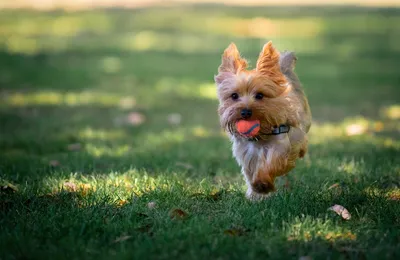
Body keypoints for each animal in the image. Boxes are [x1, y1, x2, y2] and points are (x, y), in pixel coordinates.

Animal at [214, 40, 310, 200]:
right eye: (234, 96)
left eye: (259, 95)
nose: (245, 112)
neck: (260, 136)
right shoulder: (247, 153)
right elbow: (250, 172)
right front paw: (254, 193)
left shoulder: (281, 145)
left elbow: (272, 163)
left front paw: (262, 184)